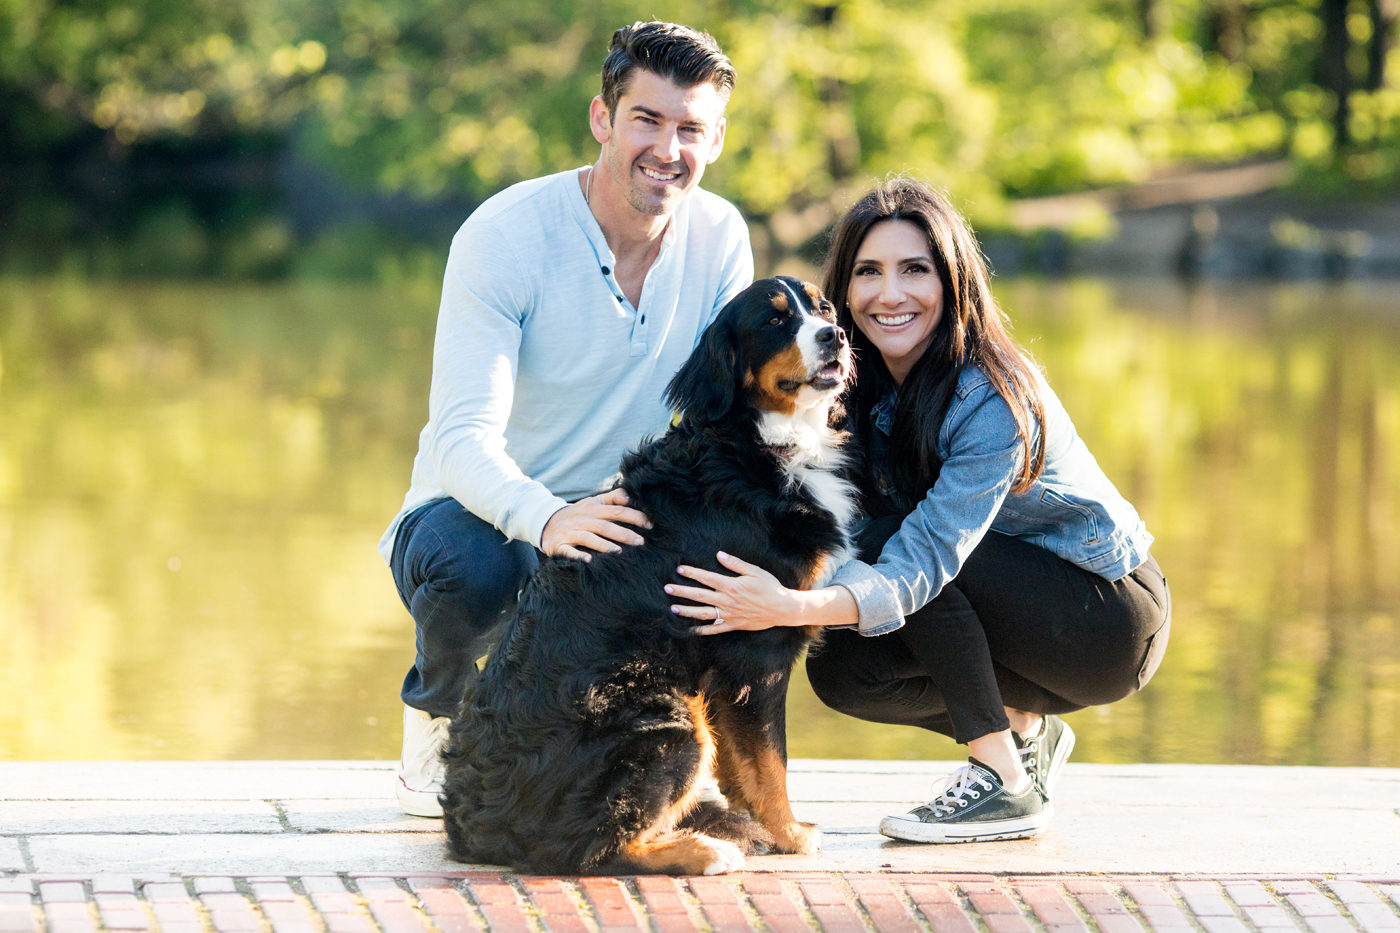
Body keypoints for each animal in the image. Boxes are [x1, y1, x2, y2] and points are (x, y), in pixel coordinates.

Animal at [439, 274, 851, 874]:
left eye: (824, 309)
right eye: (775, 321)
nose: (834, 336)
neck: (753, 446)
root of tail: (477, 829)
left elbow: (740, 765)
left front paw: (758, 823)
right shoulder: (755, 645)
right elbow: (769, 761)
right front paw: (790, 833)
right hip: (670, 724)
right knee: (595, 849)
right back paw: (707, 849)